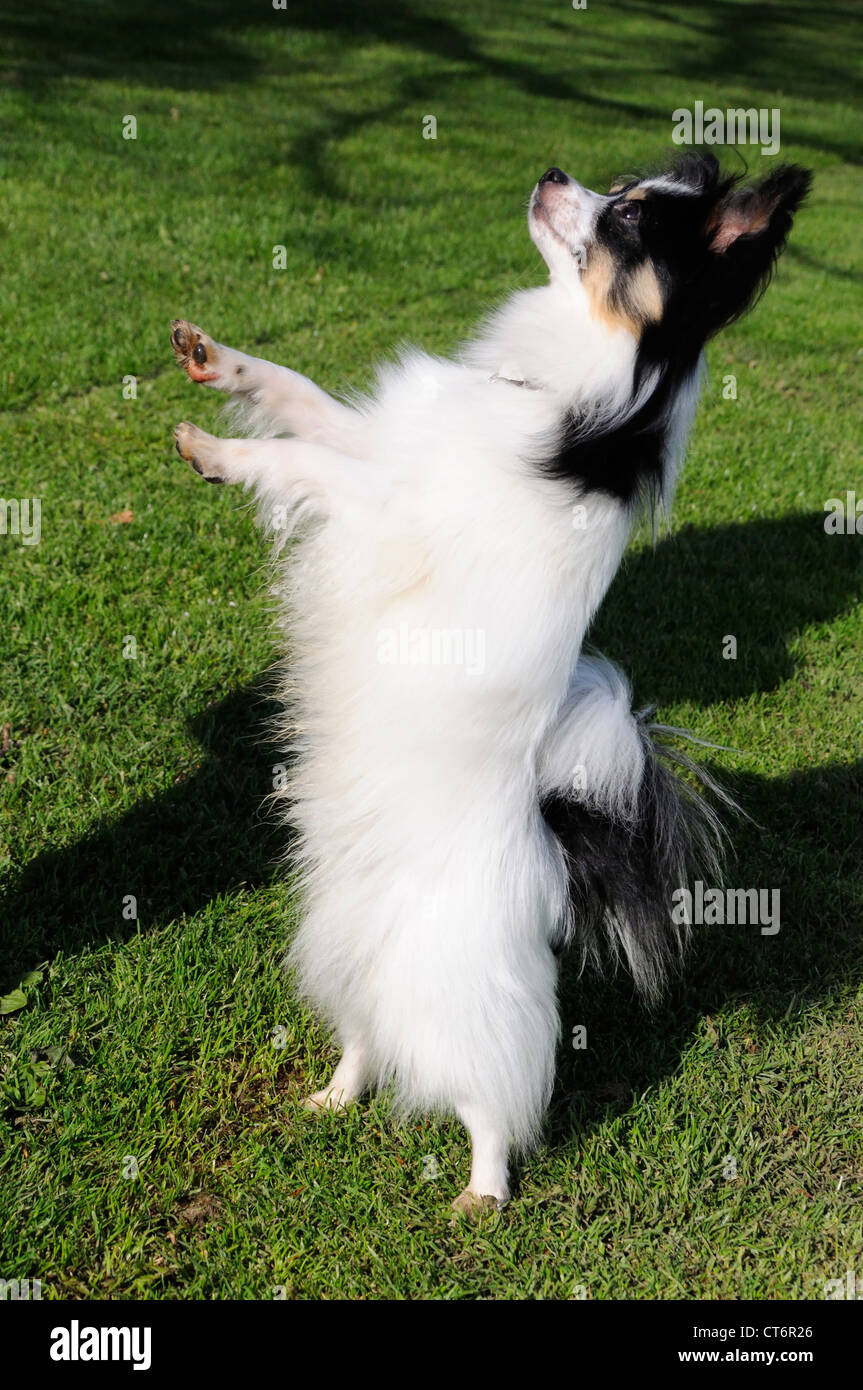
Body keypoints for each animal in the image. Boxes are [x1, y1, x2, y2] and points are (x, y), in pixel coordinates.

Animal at [166, 152, 806, 1212]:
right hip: (353, 965)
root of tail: (549, 851)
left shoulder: (383, 507)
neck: (557, 392)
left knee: (491, 1099)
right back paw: (332, 1098)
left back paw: (483, 1191)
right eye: (618, 184)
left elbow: (300, 459)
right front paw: (215, 360)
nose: (552, 171)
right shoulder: (375, 445)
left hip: (463, 1003)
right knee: (367, 1042)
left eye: (629, 216)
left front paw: (219, 452)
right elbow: (300, 400)